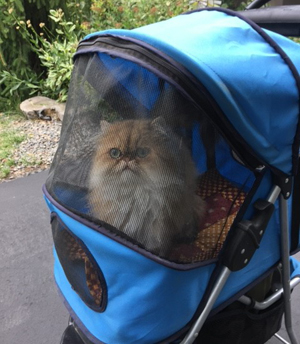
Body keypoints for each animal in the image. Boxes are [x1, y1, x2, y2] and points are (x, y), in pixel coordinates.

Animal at [88, 117, 206, 255]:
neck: (134, 193)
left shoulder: (159, 227)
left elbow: (156, 247)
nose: (127, 159)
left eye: (142, 152)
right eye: (115, 153)